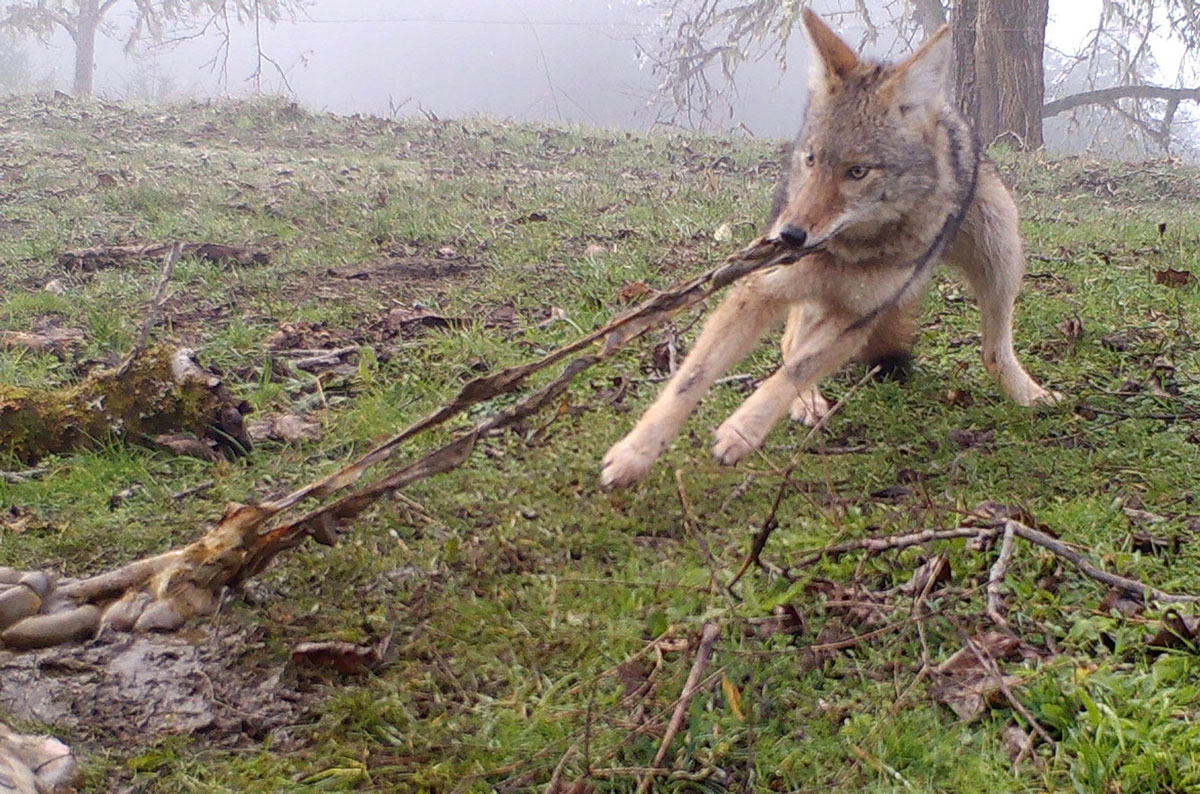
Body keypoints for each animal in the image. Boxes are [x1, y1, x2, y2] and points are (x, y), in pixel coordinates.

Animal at [600, 8, 1060, 488]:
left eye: (858, 171)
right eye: (811, 159)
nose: (789, 236)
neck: (851, 248)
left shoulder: (855, 320)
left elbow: (793, 371)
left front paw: (740, 433)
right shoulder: (760, 289)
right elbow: (693, 377)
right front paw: (635, 453)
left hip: (1000, 251)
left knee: (993, 350)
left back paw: (1030, 395)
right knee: (790, 340)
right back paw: (808, 403)